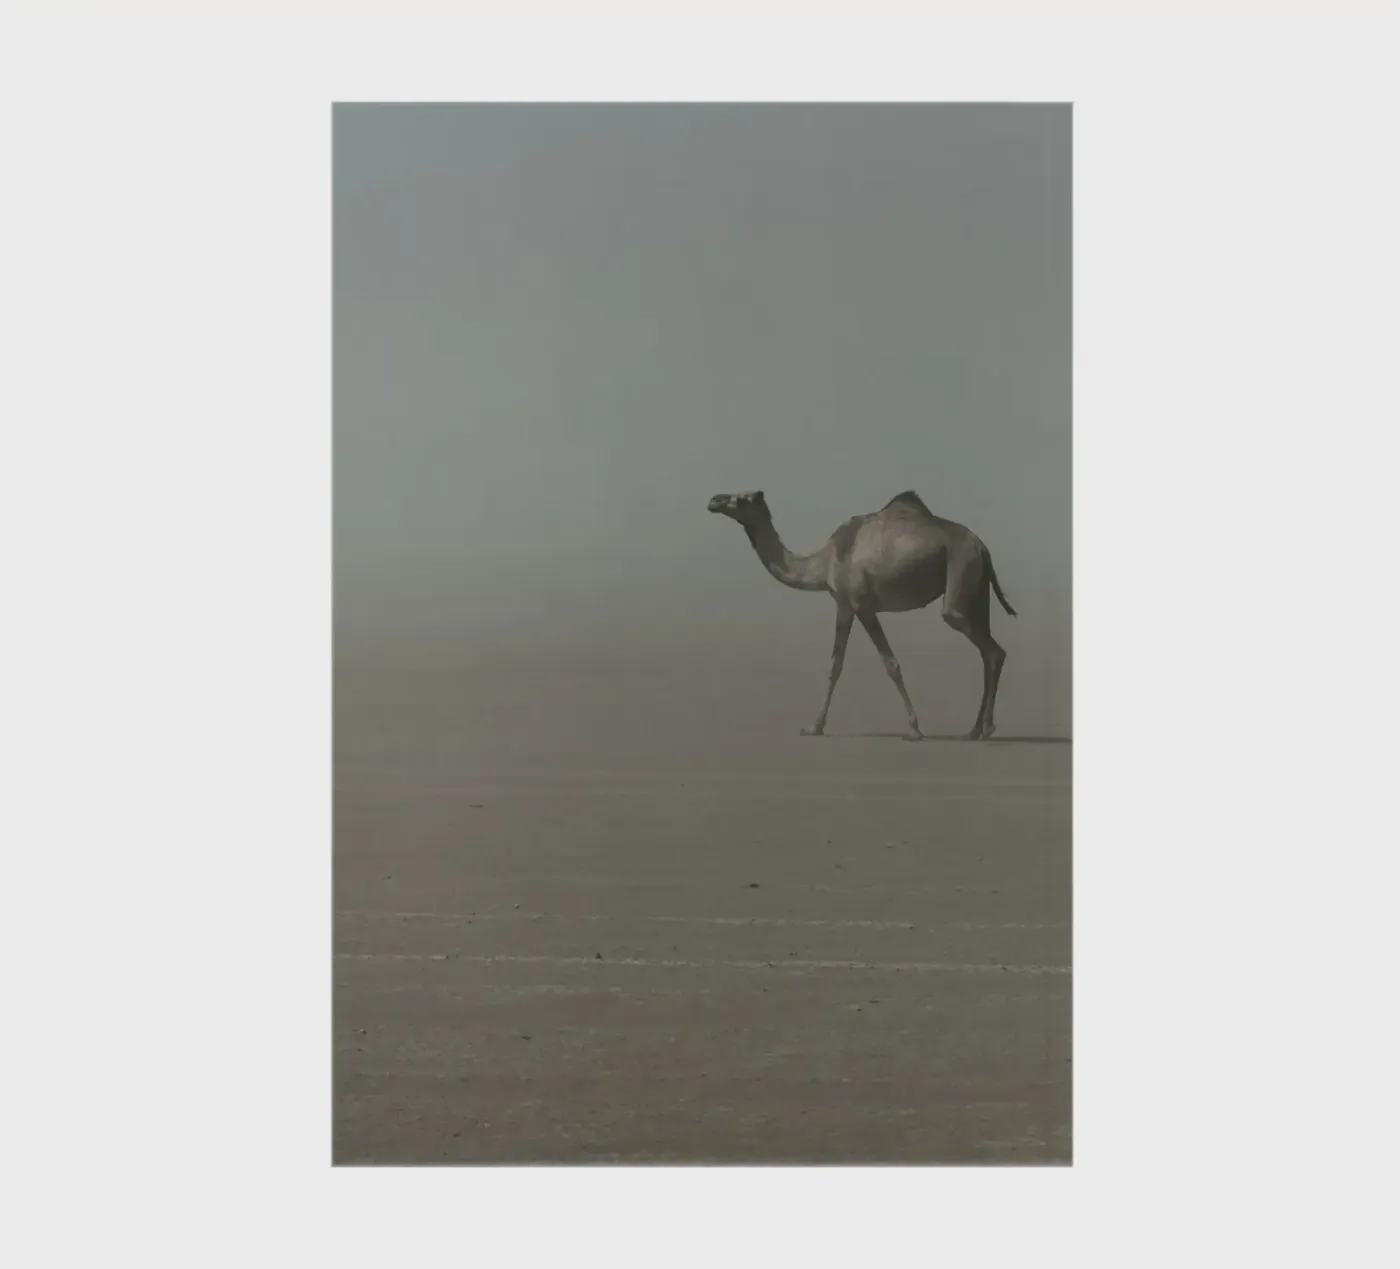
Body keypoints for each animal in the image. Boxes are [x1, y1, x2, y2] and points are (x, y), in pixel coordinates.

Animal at [707, 489, 1017, 741]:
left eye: (742, 498)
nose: (714, 500)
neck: (823, 562)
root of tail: (982, 547)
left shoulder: (861, 603)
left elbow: (890, 663)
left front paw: (914, 729)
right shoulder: (843, 604)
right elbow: (835, 664)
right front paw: (814, 727)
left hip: (960, 572)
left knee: (988, 647)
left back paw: (986, 728)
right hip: (978, 589)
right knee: (987, 650)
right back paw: (974, 730)